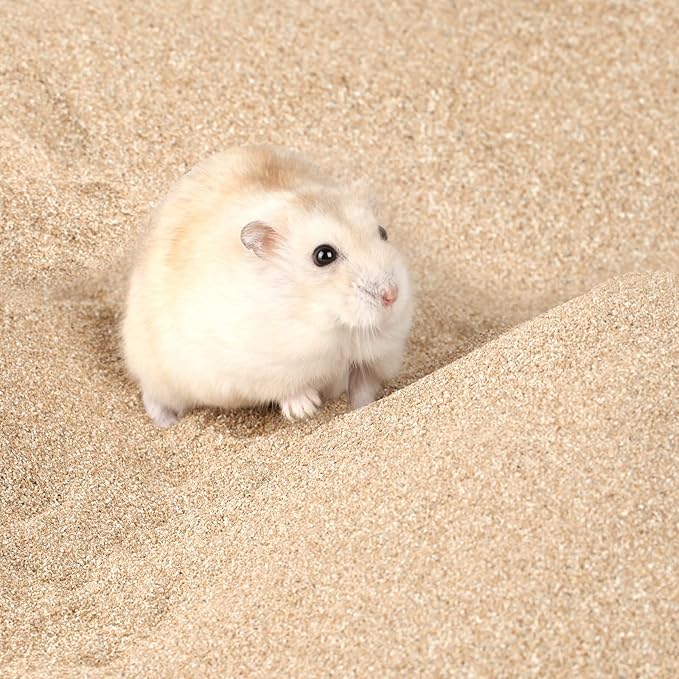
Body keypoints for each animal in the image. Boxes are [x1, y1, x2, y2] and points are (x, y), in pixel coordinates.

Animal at [121, 145, 414, 427]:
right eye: (323, 255)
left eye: (383, 233)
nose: (392, 296)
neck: (334, 326)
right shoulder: (261, 368)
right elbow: (288, 389)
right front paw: (306, 409)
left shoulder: (373, 359)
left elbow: (362, 384)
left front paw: (361, 407)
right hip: (157, 371)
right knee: (152, 396)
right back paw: (166, 423)